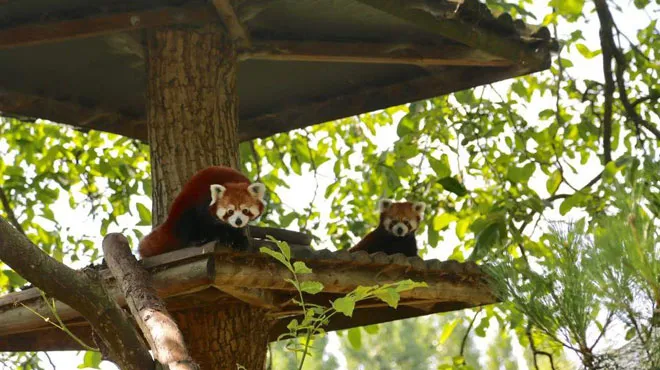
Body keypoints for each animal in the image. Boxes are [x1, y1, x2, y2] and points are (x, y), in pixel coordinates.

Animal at [138, 166, 266, 258]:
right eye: (230, 211)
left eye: (245, 210)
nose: (238, 221)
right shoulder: (204, 205)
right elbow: (209, 225)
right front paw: (225, 238)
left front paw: (240, 240)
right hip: (185, 210)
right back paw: (197, 240)